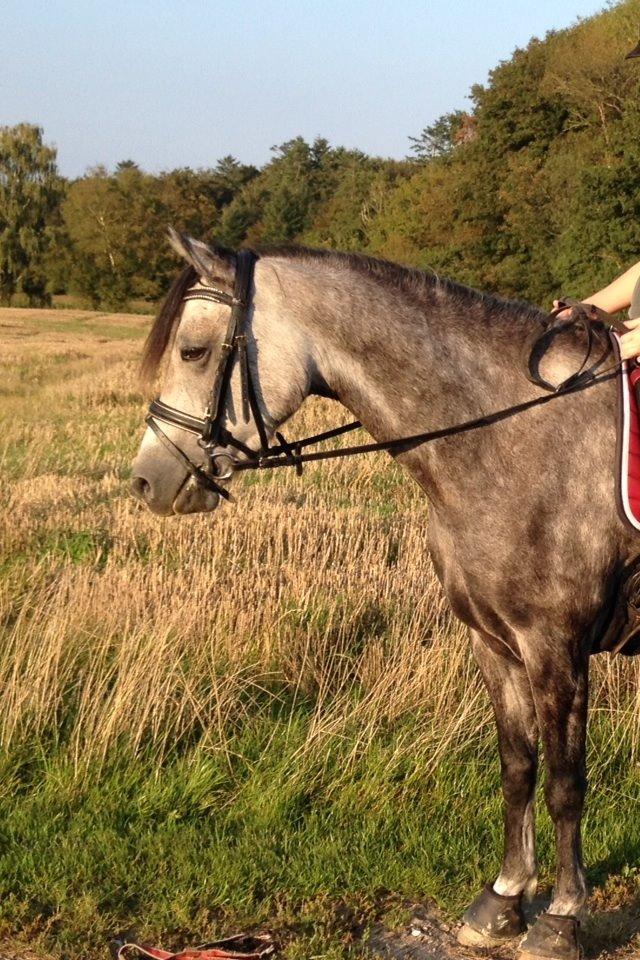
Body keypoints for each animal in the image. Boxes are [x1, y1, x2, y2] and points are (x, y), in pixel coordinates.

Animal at [131, 231, 639, 960]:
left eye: (193, 351)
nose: (146, 480)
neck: (510, 440)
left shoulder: (557, 648)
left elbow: (566, 785)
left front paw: (562, 919)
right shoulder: (494, 643)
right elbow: (517, 766)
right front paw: (502, 902)